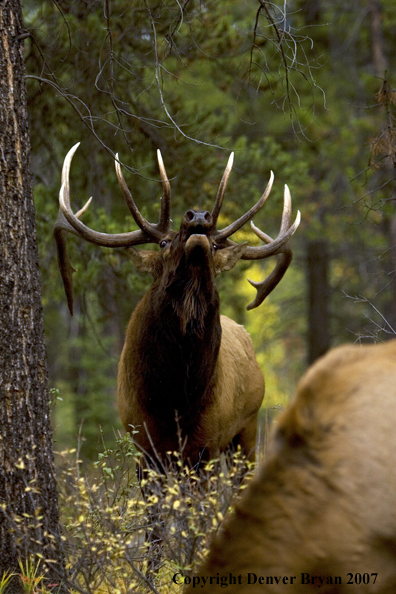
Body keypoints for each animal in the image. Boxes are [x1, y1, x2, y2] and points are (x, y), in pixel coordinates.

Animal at [53, 143, 300, 468]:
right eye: (163, 243)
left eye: (216, 247)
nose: (198, 216)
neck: (175, 400)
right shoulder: (142, 442)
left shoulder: (207, 444)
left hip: (248, 427)